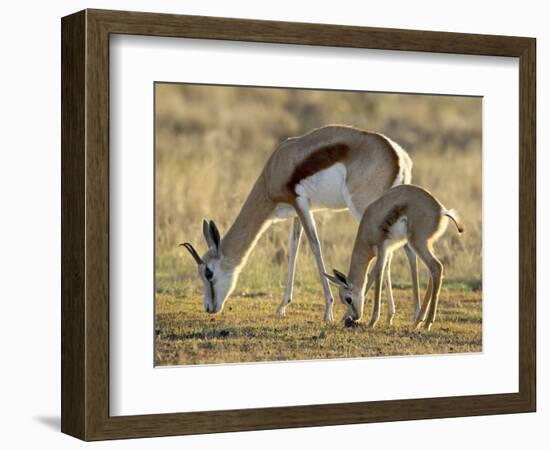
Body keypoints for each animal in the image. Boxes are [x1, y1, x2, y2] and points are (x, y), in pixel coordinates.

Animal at [182, 125, 422, 322]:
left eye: (208, 273)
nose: (208, 307)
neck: (275, 169)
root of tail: (398, 154)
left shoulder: (301, 204)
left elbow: (315, 247)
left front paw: (328, 311)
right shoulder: (297, 212)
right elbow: (293, 249)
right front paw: (282, 307)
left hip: (365, 208)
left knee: (394, 250)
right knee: (403, 250)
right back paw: (402, 315)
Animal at [326, 184, 464, 330]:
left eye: (348, 299)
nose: (355, 317)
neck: (369, 226)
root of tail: (442, 210)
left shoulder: (381, 249)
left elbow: (378, 275)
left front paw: (372, 322)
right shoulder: (388, 252)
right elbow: (378, 275)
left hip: (417, 244)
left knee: (436, 267)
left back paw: (427, 324)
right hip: (426, 245)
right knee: (432, 273)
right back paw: (418, 321)